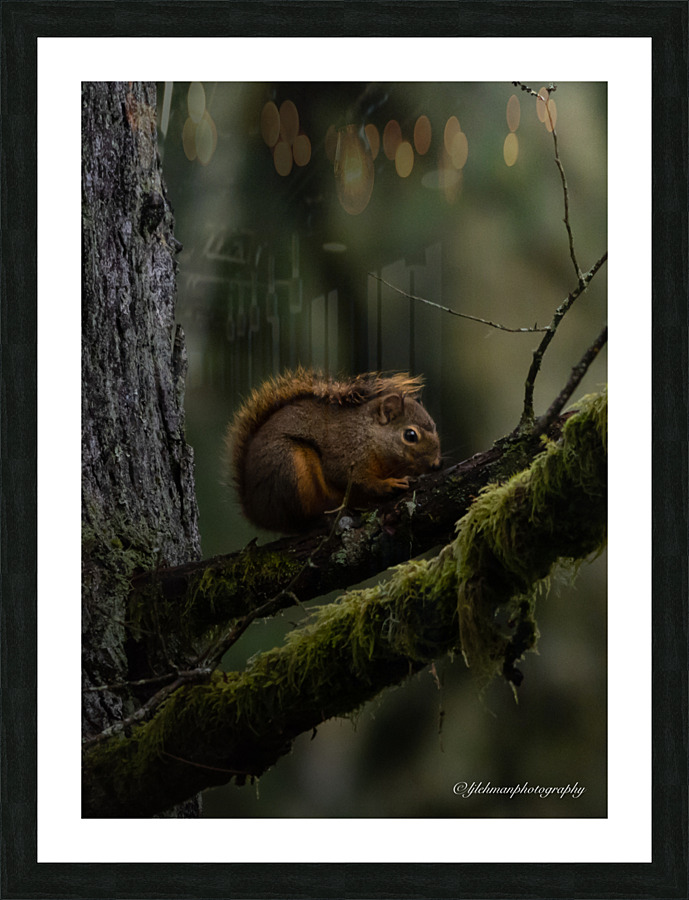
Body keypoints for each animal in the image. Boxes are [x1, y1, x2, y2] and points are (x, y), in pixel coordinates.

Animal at [226, 367, 441, 533]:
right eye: (410, 435)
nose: (436, 465)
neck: (368, 437)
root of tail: (255, 510)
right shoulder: (344, 451)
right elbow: (354, 480)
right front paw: (389, 484)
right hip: (287, 466)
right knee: (295, 522)